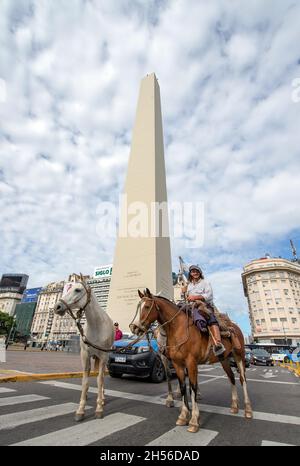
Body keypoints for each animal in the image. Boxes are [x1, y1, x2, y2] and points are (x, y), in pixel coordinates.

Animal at [54, 278, 115, 420]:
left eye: (77, 290)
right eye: (69, 288)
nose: (57, 307)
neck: (96, 325)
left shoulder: (103, 356)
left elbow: (99, 379)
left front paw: (99, 408)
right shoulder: (85, 354)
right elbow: (85, 381)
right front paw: (81, 409)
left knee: (101, 376)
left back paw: (102, 399)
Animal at [131, 288, 253, 434]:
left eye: (147, 306)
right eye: (138, 306)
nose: (134, 327)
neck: (178, 329)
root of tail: (233, 326)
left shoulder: (191, 363)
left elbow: (193, 387)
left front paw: (194, 420)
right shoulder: (177, 364)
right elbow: (183, 387)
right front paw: (183, 415)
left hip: (239, 356)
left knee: (242, 379)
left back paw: (248, 409)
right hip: (224, 359)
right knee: (231, 378)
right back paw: (234, 406)